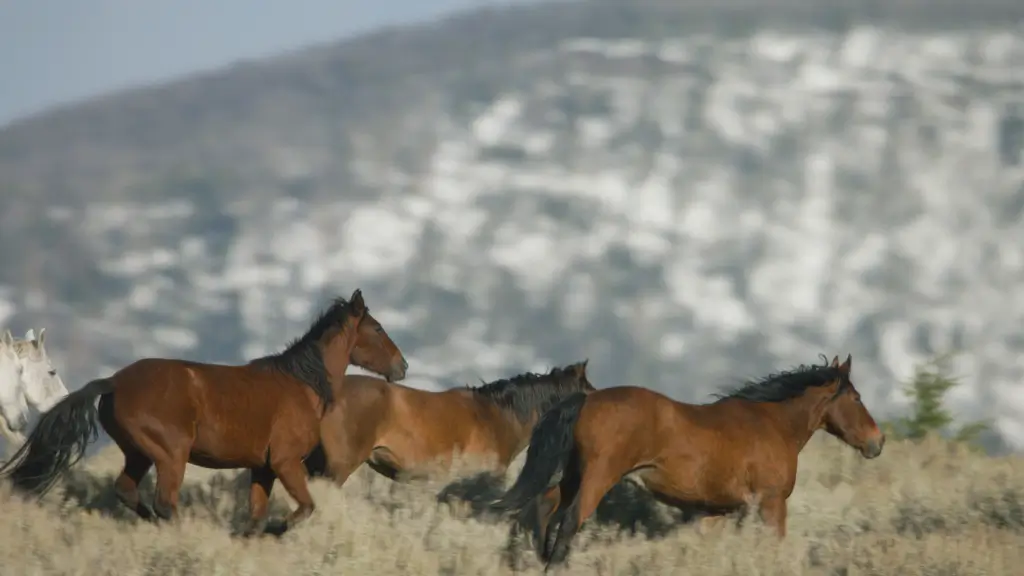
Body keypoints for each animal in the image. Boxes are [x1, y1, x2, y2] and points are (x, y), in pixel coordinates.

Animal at [0, 289, 409, 537]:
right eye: (377, 328)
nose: (402, 366)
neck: (302, 384)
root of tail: (114, 381)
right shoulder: (286, 462)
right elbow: (304, 509)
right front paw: (275, 532)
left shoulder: (262, 468)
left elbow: (256, 516)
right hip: (171, 455)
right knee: (165, 503)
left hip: (139, 454)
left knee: (129, 492)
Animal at [490, 354, 885, 567]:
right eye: (856, 397)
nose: (877, 442)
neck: (772, 423)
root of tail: (585, 400)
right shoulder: (772, 503)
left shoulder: (714, 512)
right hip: (597, 478)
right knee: (570, 521)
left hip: (575, 475)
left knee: (543, 506)